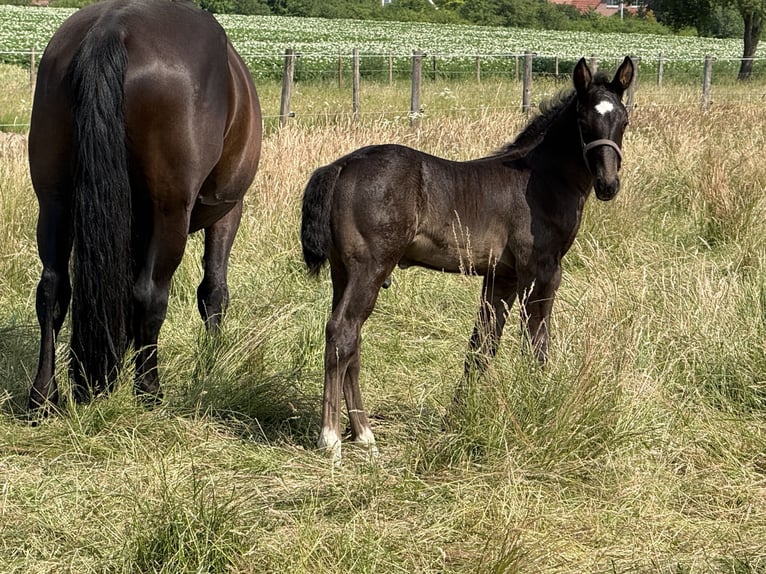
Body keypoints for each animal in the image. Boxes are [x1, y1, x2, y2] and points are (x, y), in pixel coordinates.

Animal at [27, 0, 262, 412]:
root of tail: (113, 26)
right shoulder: (228, 210)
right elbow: (214, 291)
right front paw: (211, 363)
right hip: (171, 213)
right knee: (150, 293)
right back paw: (149, 389)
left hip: (54, 203)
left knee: (53, 289)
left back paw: (44, 395)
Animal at [301, 56, 634, 462]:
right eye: (584, 122)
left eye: (623, 121)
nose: (608, 185)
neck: (542, 179)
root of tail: (341, 165)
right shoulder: (542, 271)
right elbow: (536, 344)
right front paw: (541, 403)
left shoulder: (502, 277)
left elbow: (482, 345)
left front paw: (457, 416)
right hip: (370, 268)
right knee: (342, 330)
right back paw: (331, 437)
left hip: (343, 271)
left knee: (353, 339)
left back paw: (364, 434)